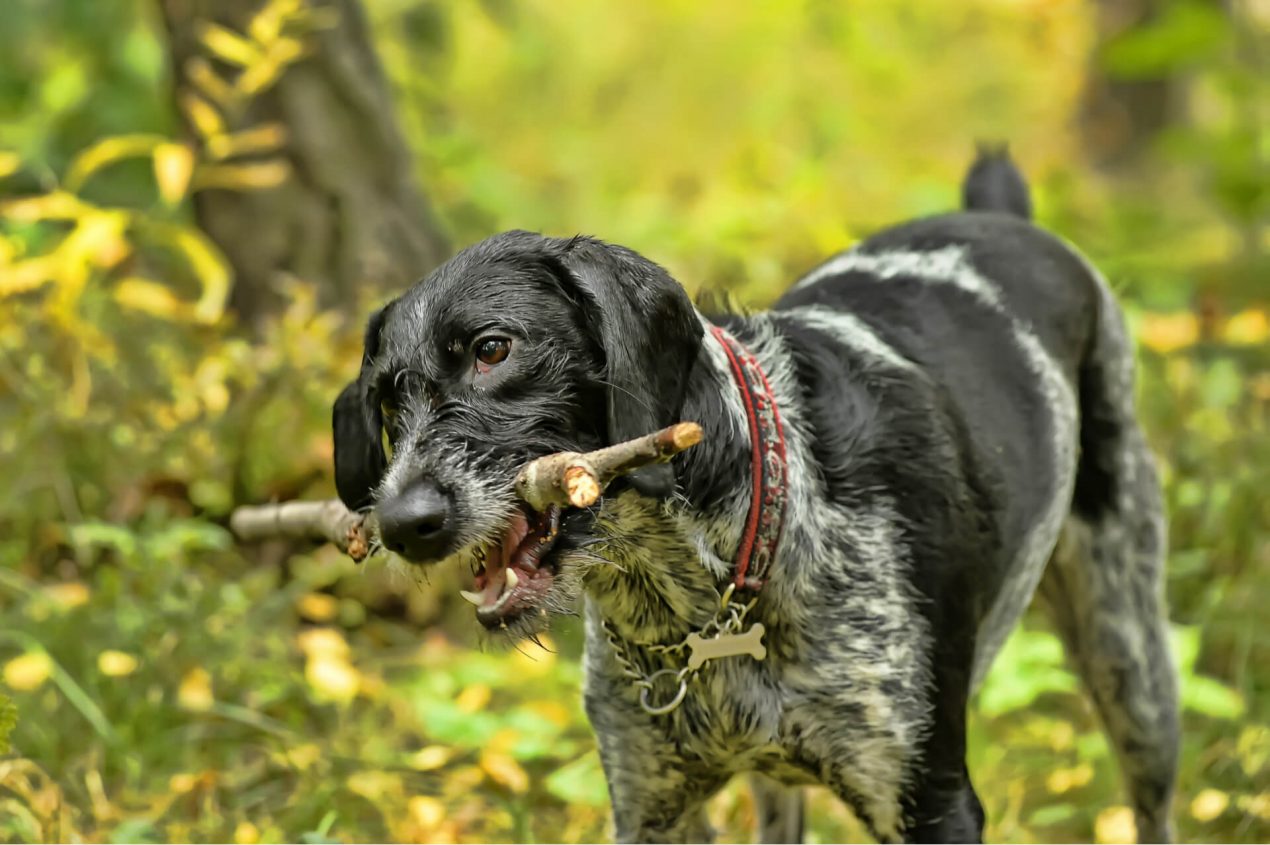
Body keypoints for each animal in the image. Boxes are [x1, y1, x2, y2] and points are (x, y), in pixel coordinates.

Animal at [330, 148, 1178, 838]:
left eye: (492, 349)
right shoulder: (650, 806)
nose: (402, 522)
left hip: (1133, 665)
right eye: (387, 400)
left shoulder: (933, 803)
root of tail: (1004, 216)